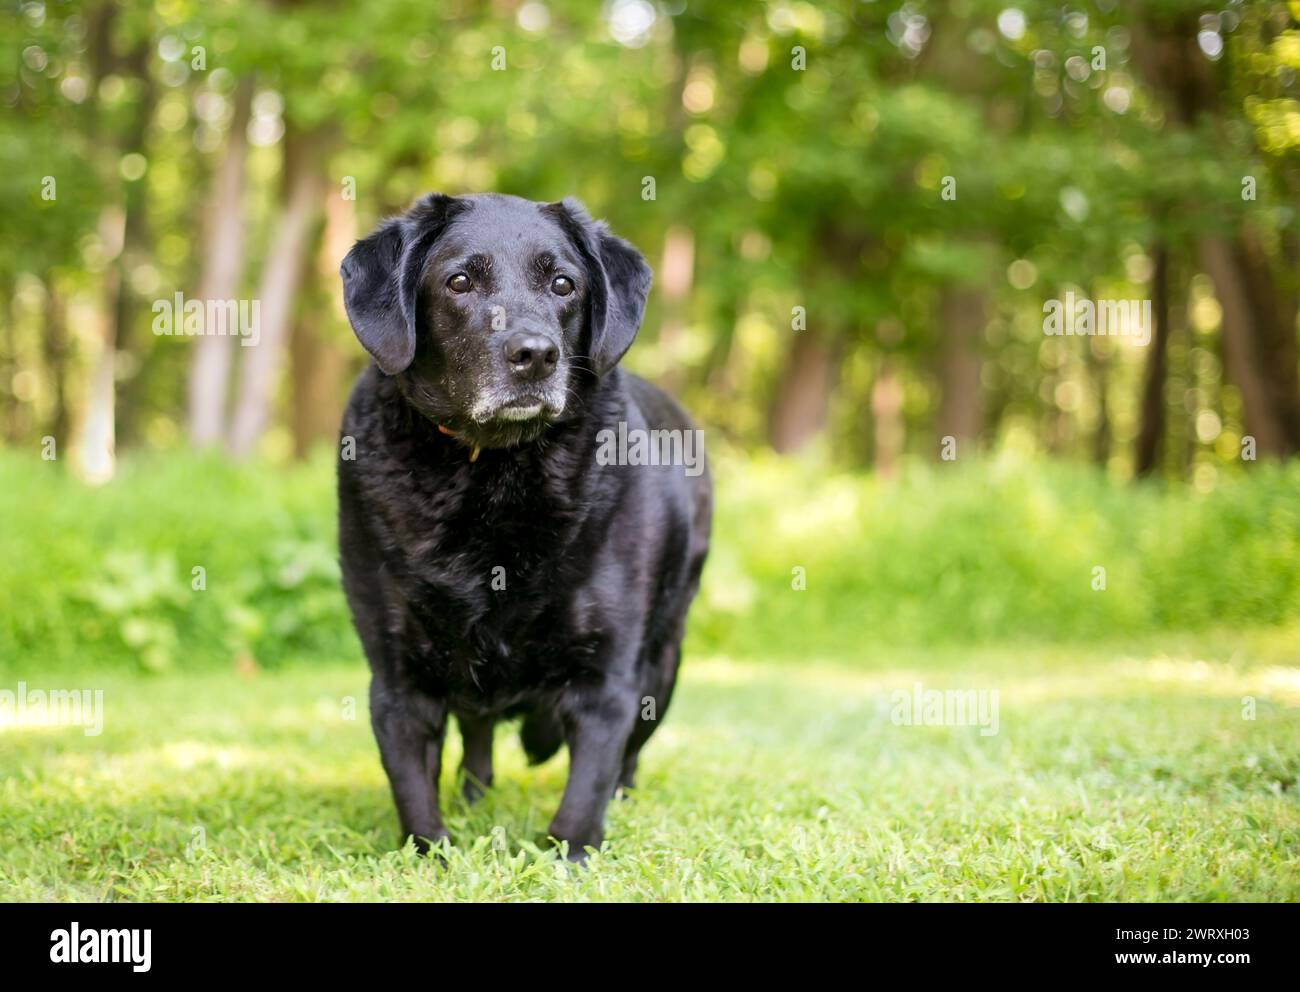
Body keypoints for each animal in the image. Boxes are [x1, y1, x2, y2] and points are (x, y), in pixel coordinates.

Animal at [335, 193, 712, 863]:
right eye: (459, 282)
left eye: (564, 284)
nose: (535, 354)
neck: (494, 473)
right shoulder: (398, 680)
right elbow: (413, 791)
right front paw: (431, 854)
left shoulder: (608, 680)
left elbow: (584, 791)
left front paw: (571, 857)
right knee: (478, 730)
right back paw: (475, 792)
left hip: (665, 659)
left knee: (627, 754)